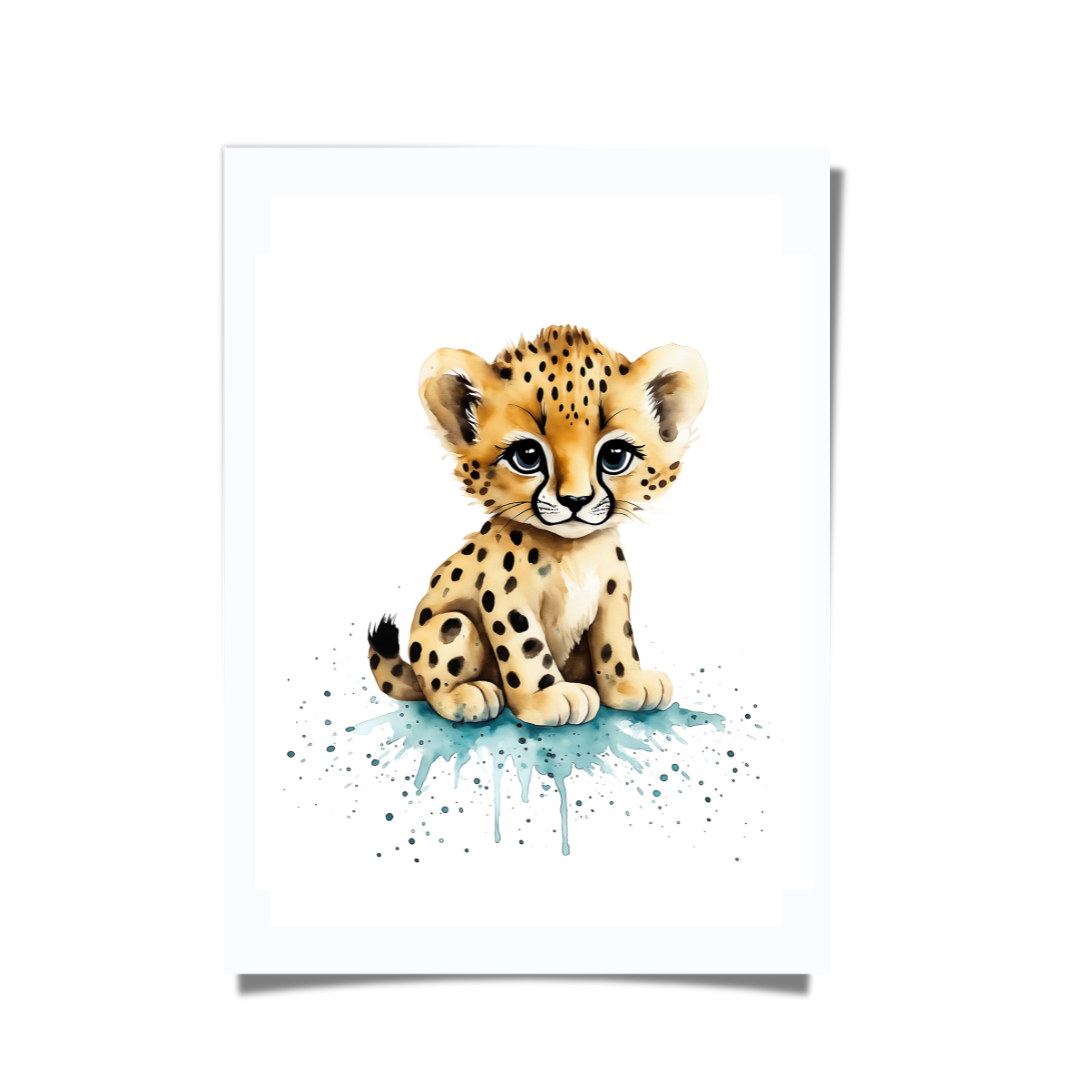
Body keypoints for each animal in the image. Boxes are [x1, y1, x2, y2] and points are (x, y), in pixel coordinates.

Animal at [367, 324, 707, 727]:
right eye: (527, 456)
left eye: (615, 456)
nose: (576, 500)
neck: (573, 551)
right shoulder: (505, 598)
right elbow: (525, 645)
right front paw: (548, 696)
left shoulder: (612, 594)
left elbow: (617, 640)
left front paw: (627, 685)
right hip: (449, 625)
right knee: (433, 681)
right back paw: (467, 696)